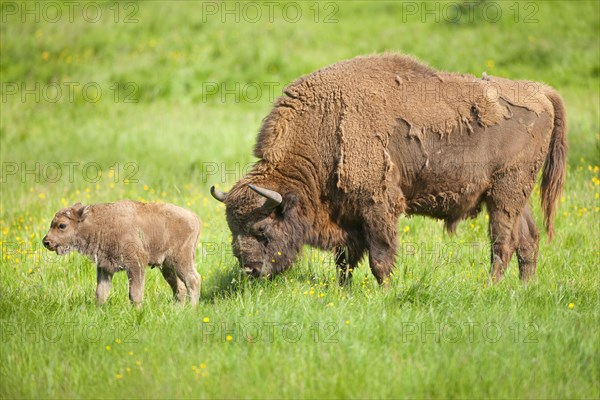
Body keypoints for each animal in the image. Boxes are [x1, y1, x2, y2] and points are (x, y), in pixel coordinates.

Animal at [42, 200, 202, 306]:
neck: (101, 222)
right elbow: (101, 292)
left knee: (193, 280)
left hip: (181, 260)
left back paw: (191, 309)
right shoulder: (104, 268)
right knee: (180, 287)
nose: (46, 242)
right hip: (167, 266)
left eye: (62, 225)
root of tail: (194, 217)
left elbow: (135, 293)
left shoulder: (136, 264)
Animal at [211, 54, 568, 284]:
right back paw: (523, 287)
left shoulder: (378, 207)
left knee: (503, 242)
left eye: (261, 229)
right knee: (528, 239)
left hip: (505, 193)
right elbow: (344, 261)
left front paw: (384, 290)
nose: (250, 271)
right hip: (514, 196)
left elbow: (380, 257)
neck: (327, 123)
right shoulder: (346, 216)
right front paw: (343, 291)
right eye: (232, 229)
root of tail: (539, 91)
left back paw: (490, 287)